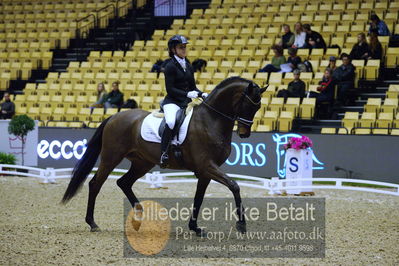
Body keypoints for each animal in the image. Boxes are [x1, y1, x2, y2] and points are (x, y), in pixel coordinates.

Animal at [61, 77, 268, 235]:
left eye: (257, 108)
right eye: (248, 105)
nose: (244, 134)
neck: (211, 120)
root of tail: (114, 116)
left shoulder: (205, 171)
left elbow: (199, 198)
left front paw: (195, 227)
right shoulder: (207, 166)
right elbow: (234, 186)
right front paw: (241, 224)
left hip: (142, 162)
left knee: (123, 182)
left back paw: (138, 216)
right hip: (111, 157)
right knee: (95, 184)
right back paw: (93, 223)